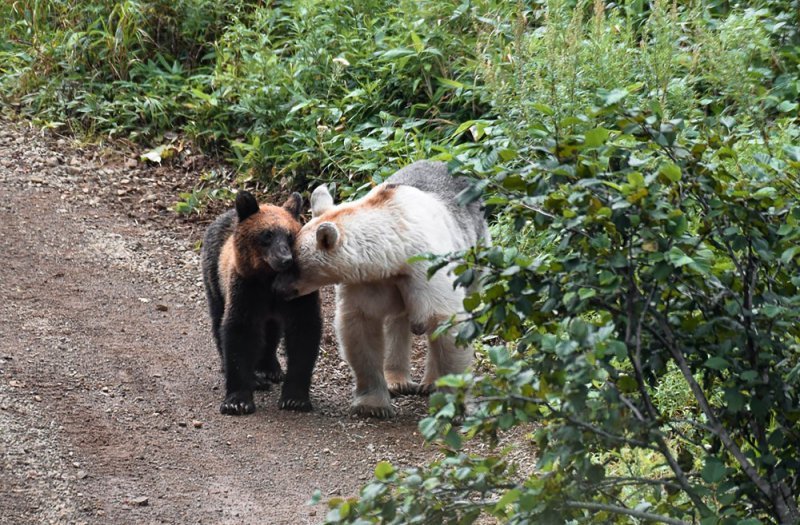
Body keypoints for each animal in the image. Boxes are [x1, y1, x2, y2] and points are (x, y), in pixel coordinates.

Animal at [284, 160, 490, 418]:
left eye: (294, 265)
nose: (278, 290)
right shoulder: (369, 280)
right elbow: (360, 326)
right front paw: (372, 405)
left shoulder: (428, 269)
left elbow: (445, 321)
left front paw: (454, 404)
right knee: (396, 320)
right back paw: (397, 380)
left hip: (475, 248)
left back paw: (429, 383)